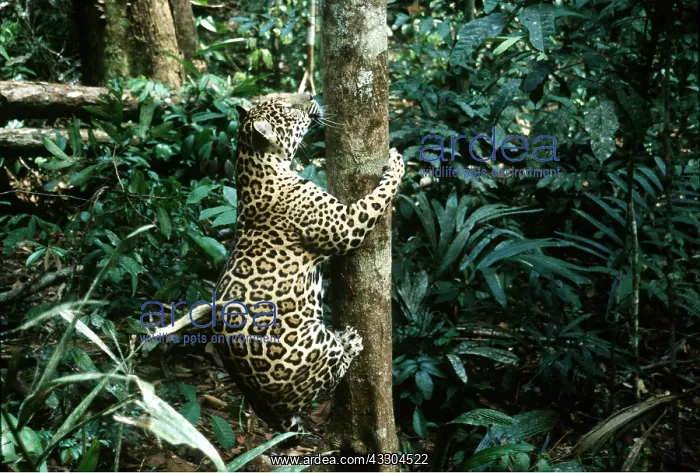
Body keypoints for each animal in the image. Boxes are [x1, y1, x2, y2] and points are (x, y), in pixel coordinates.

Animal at [193, 93, 404, 432]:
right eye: (288, 108)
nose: (310, 96)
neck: (256, 166)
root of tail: (271, 410)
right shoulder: (345, 225)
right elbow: (376, 199)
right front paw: (397, 164)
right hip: (315, 346)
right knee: (331, 373)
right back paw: (351, 341)